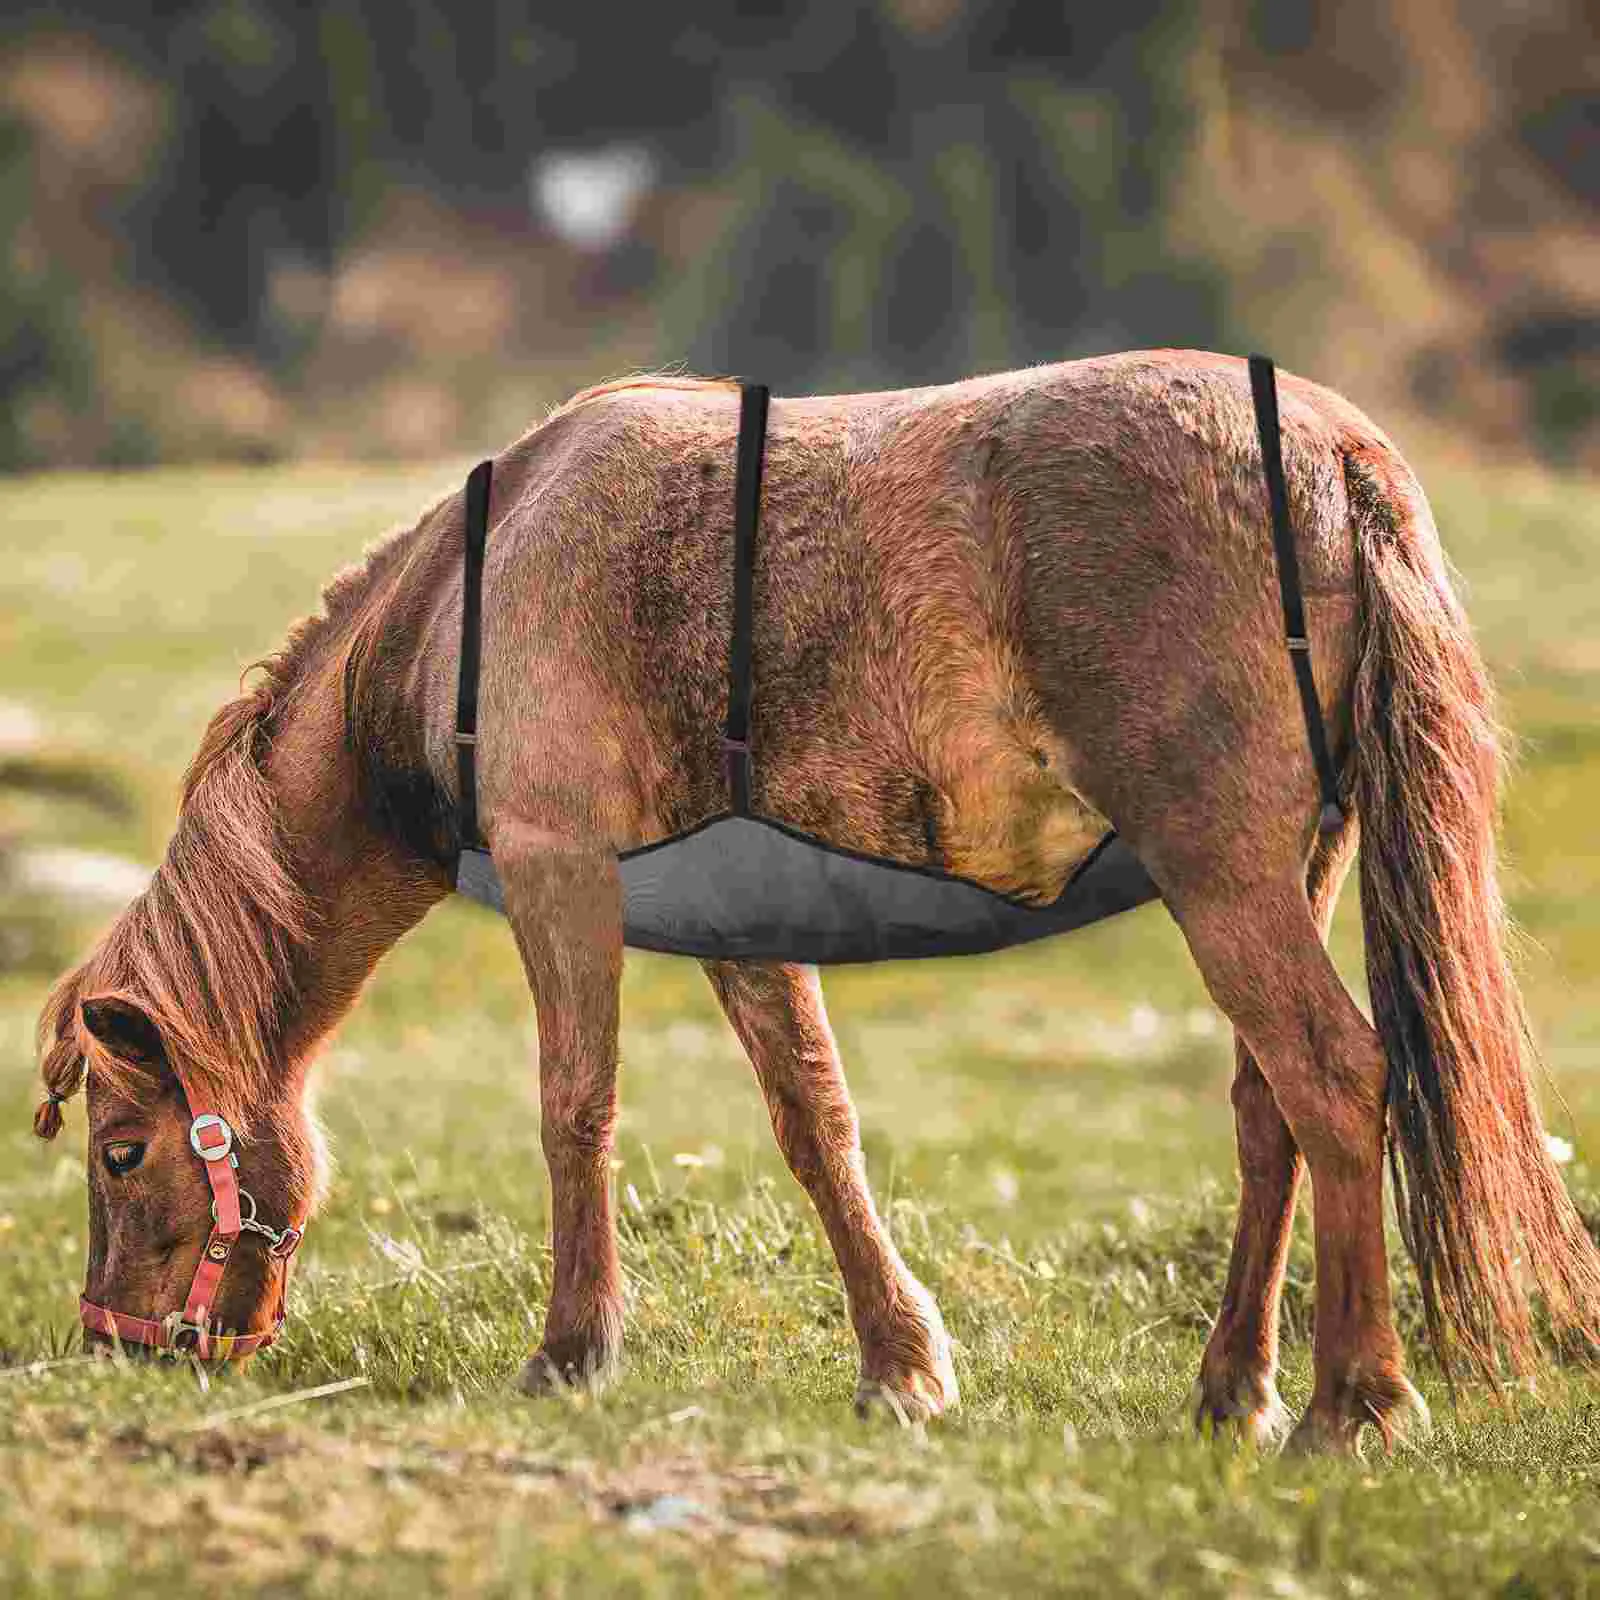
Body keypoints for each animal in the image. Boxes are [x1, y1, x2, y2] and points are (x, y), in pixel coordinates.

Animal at [34, 349, 1600, 1452]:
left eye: (120, 1152)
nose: (116, 1345)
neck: (468, 609)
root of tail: (1335, 457)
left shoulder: (556, 870)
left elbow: (574, 1106)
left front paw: (572, 1351)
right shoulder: (745, 928)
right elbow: (815, 1128)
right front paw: (901, 1364)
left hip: (1221, 872)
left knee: (1336, 1080)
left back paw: (1353, 1404)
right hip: (1289, 869)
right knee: (1270, 1108)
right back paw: (1235, 1391)